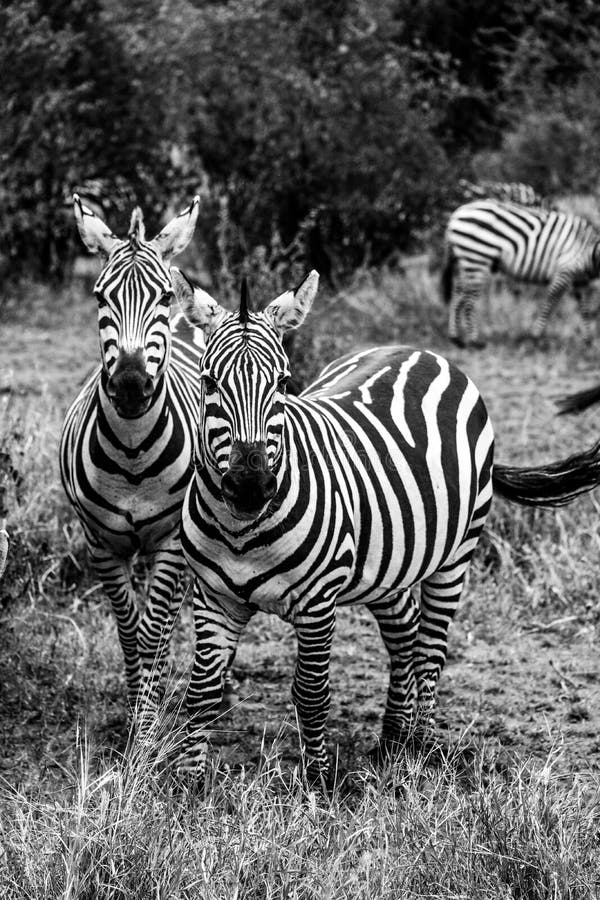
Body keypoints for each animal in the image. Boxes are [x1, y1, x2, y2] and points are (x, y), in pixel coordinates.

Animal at [60, 194, 204, 730]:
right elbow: (129, 630)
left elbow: (153, 630)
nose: (129, 386)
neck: (133, 457)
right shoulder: (100, 543)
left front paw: (147, 726)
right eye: (100, 298)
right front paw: (137, 713)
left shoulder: (171, 541)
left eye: (161, 298)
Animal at [169, 267, 600, 779]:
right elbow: (201, 695)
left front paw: (318, 782)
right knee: (404, 632)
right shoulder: (213, 598)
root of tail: (422, 351)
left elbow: (311, 695)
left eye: (284, 382)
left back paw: (423, 747)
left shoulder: (318, 604)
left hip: (457, 552)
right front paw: (190, 782)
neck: (242, 534)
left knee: (431, 647)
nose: (250, 487)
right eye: (209, 382)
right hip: (388, 557)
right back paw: (393, 741)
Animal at [442, 199, 600, 348]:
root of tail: (456, 214)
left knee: (457, 295)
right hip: (477, 259)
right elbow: (550, 303)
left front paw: (588, 341)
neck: (589, 248)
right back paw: (475, 341)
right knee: (468, 301)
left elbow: (585, 309)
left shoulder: (579, 280)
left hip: (465, 261)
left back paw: (456, 338)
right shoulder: (565, 271)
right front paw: (536, 336)